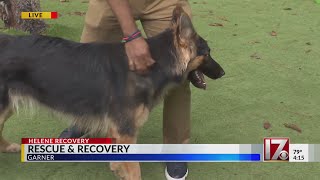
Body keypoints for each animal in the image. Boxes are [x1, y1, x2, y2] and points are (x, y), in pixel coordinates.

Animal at [0, 5, 224, 180]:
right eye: (207, 53)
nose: (223, 73)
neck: (155, 63)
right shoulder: (126, 132)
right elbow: (135, 171)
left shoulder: (119, 132)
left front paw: (117, 169)